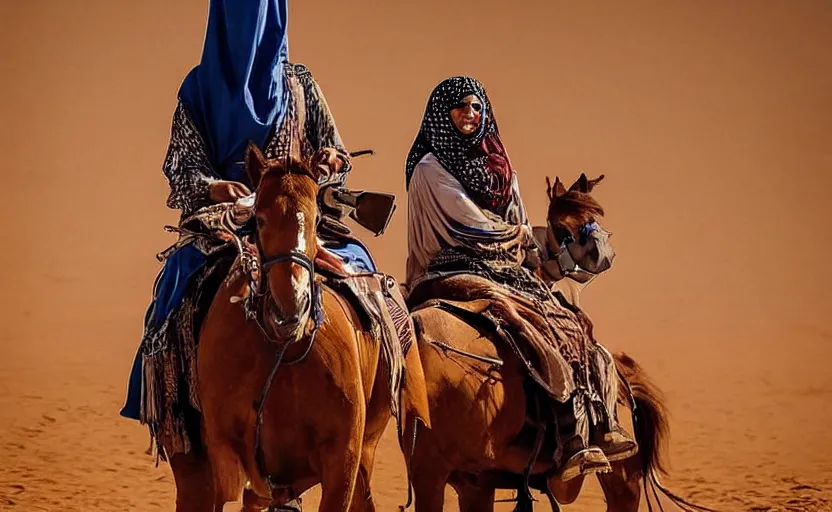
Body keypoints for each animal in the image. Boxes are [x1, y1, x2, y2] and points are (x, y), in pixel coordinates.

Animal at [169, 143, 428, 512]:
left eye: (317, 218)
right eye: (260, 219)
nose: (292, 303)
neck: (284, 345)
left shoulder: (343, 457)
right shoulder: (225, 451)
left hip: (365, 446)